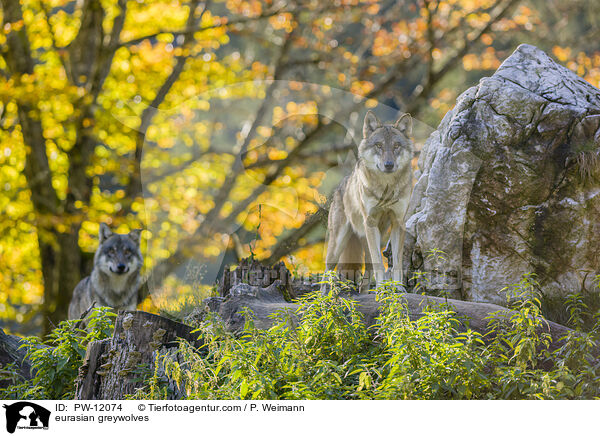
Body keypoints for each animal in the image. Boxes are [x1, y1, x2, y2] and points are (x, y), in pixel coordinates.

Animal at [324, 110, 412, 292]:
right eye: (379, 145)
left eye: (396, 146)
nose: (389, 164)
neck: (386, 188)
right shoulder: (371, 222)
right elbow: (379, 263)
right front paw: (382, 289)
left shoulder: (398, 223)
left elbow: (397, 263)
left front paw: (398, 289)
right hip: (338, 244)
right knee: (326, 271)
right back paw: (322, 297)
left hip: (371, 234)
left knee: (368, 266)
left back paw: (364, 290)